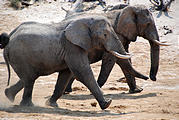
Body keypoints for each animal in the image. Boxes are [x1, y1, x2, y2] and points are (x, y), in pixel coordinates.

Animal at [1, 14, 148, 109]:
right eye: (105, 35)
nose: (148, 78)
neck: (84, 21)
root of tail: (10, 36)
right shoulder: (72, 46)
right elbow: (82, 72)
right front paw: (107, 104)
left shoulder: (71, 49)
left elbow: (65, 74)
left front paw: (51, 104)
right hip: (20, 55)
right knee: (30, 79)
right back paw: (27, 106)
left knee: (29, 77)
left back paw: (9, 95)